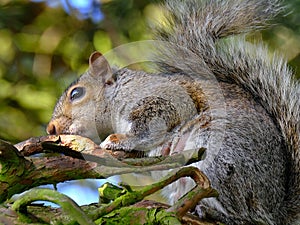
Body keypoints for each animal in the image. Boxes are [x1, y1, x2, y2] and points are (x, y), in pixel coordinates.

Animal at [47, 0, 300, 224]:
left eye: (76, 94)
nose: (51, 128)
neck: (120, 93)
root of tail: (275, 206)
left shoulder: (162, 102)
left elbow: (145, 129)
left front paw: (119, 139)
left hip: (221, 157)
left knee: (247, 216)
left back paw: (215, 212)